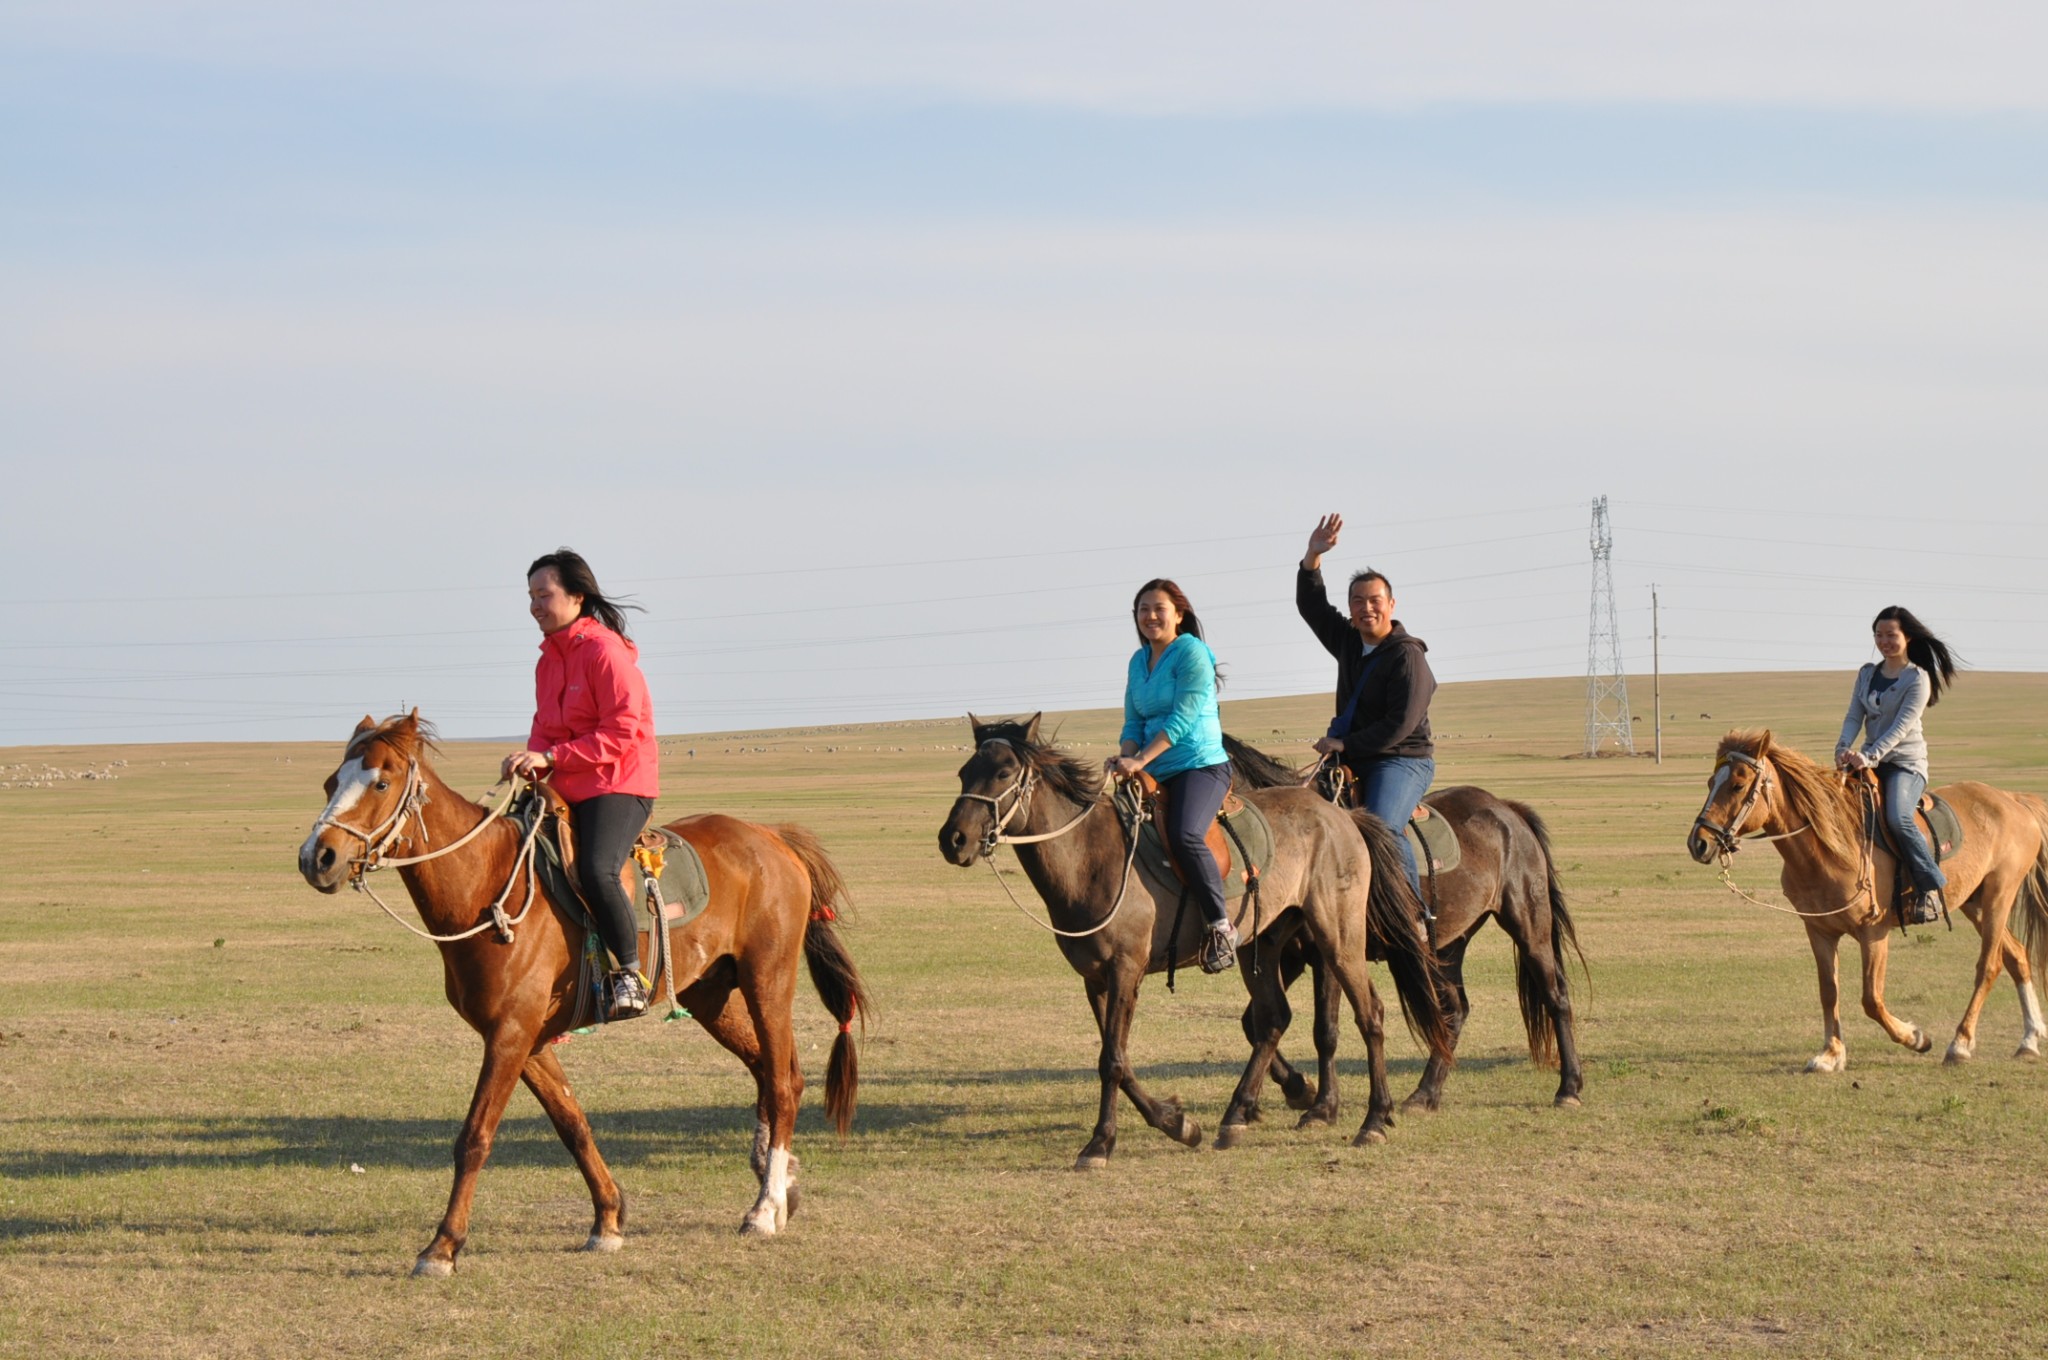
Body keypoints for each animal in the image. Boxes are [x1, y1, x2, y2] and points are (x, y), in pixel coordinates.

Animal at [292, 712, 868, 1278]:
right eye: (331, 783)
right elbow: (572, 1123)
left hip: (767, 979)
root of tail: (772, 837)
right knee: (772, 1075)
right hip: (712, 997)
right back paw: (782, 1185)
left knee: (782, 1083)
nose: (317, 857)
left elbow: (475, 1137)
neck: (486, 885)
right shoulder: (526, 1040)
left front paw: (442, 1247)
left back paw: (765, 1209)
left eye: (381, 782)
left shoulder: (510, 1034)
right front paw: (608, 1220)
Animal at [937, 712, 1449, 1171]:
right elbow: (1118, 1058)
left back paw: (1374, 1120)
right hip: (1261, 944)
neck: (1090, 858)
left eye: (1004, 772)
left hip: (1336, 938)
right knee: (1272, 1020)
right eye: (964, 772)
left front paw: (1100, 1144)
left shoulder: (1125, 970)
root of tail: (1342, 816)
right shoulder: (1096, 979)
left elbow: (1112, 1061)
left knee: (1370, 1014)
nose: (953, 839)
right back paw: (1238, 1116)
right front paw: (1177, 1124)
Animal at [1220, 737, 1589, 1114]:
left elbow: (1325, 1031)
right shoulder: (1290, 956)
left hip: (1529, 926)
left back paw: (1569, 1087)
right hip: (1447, 946)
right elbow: (1255, 1022)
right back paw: (1425, 1094)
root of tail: (1507, 810)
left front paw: (1322, 1105)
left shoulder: (1328, 955)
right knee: (1456, 1010)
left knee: (1556, 997)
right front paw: (1296, 1088)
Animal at [1687, 733, 2048, 1073]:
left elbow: (1871, 999)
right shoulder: (1819, 931)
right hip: (1974, 903)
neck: (1830, 849)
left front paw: (1916, 1037)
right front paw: (1830, 1055)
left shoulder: (1873, 933)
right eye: (1710, 782)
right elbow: (1828, 991)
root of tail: (2015, 800)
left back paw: (1960, 1044)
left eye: (1737, 784)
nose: (1698, 843)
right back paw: (2029, 1040)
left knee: (1989, 965)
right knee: (2017, 956)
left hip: (1999, 895)